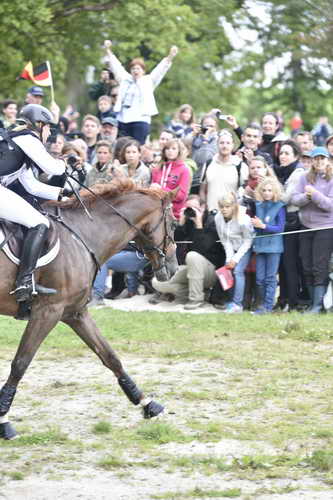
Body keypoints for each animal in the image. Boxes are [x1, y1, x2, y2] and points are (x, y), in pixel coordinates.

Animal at [0, 179, 176, 438]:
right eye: (173, 223)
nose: (173, 268)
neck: (81, 236)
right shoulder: (48, 311)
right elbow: (20, 363)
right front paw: (4, 420)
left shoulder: (75, 313)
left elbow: (110, 356)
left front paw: (147, 403)